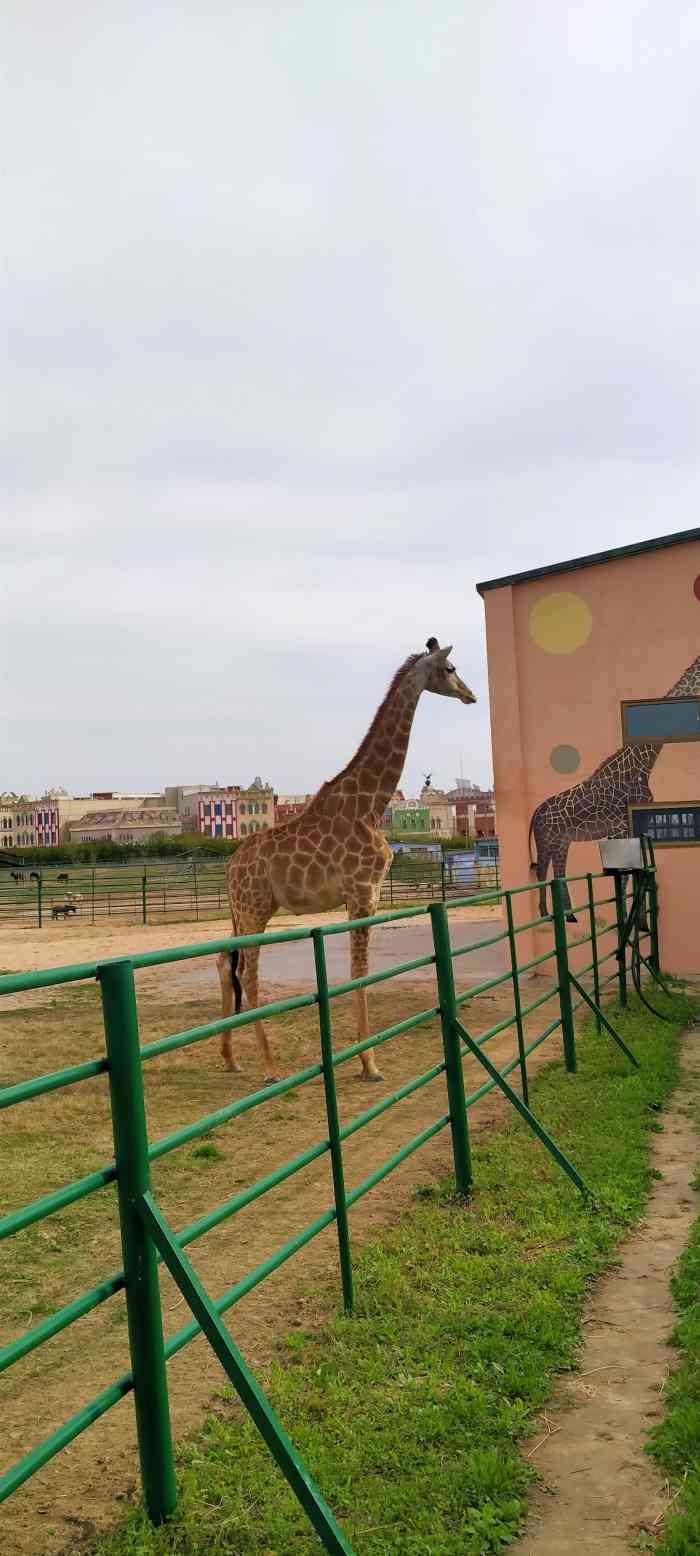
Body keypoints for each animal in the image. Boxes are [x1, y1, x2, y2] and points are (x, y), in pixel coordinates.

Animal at [214, 641, 476, 1082]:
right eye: (450, 668)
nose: (470, 695)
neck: (370, 805)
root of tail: (231, 867)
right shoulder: (362, 892)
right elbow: (359, 972)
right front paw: (370, 1063)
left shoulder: (368, 895)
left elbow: (357, 973)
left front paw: (366, 1059)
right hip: (253, 909)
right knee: (247, 974)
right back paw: (270, 1066)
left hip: (244, 910)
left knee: (224, 963)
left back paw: (231, 1057)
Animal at [532, 650, 700, 914]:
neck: (642, 763)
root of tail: (534, 815)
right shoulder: (622, 824)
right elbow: (625, 874)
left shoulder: (630, 823)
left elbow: (632, 871)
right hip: (547, 841)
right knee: (541, 871)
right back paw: (547, 913)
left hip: (561, 841)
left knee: (558, 871)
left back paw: (569, 915)